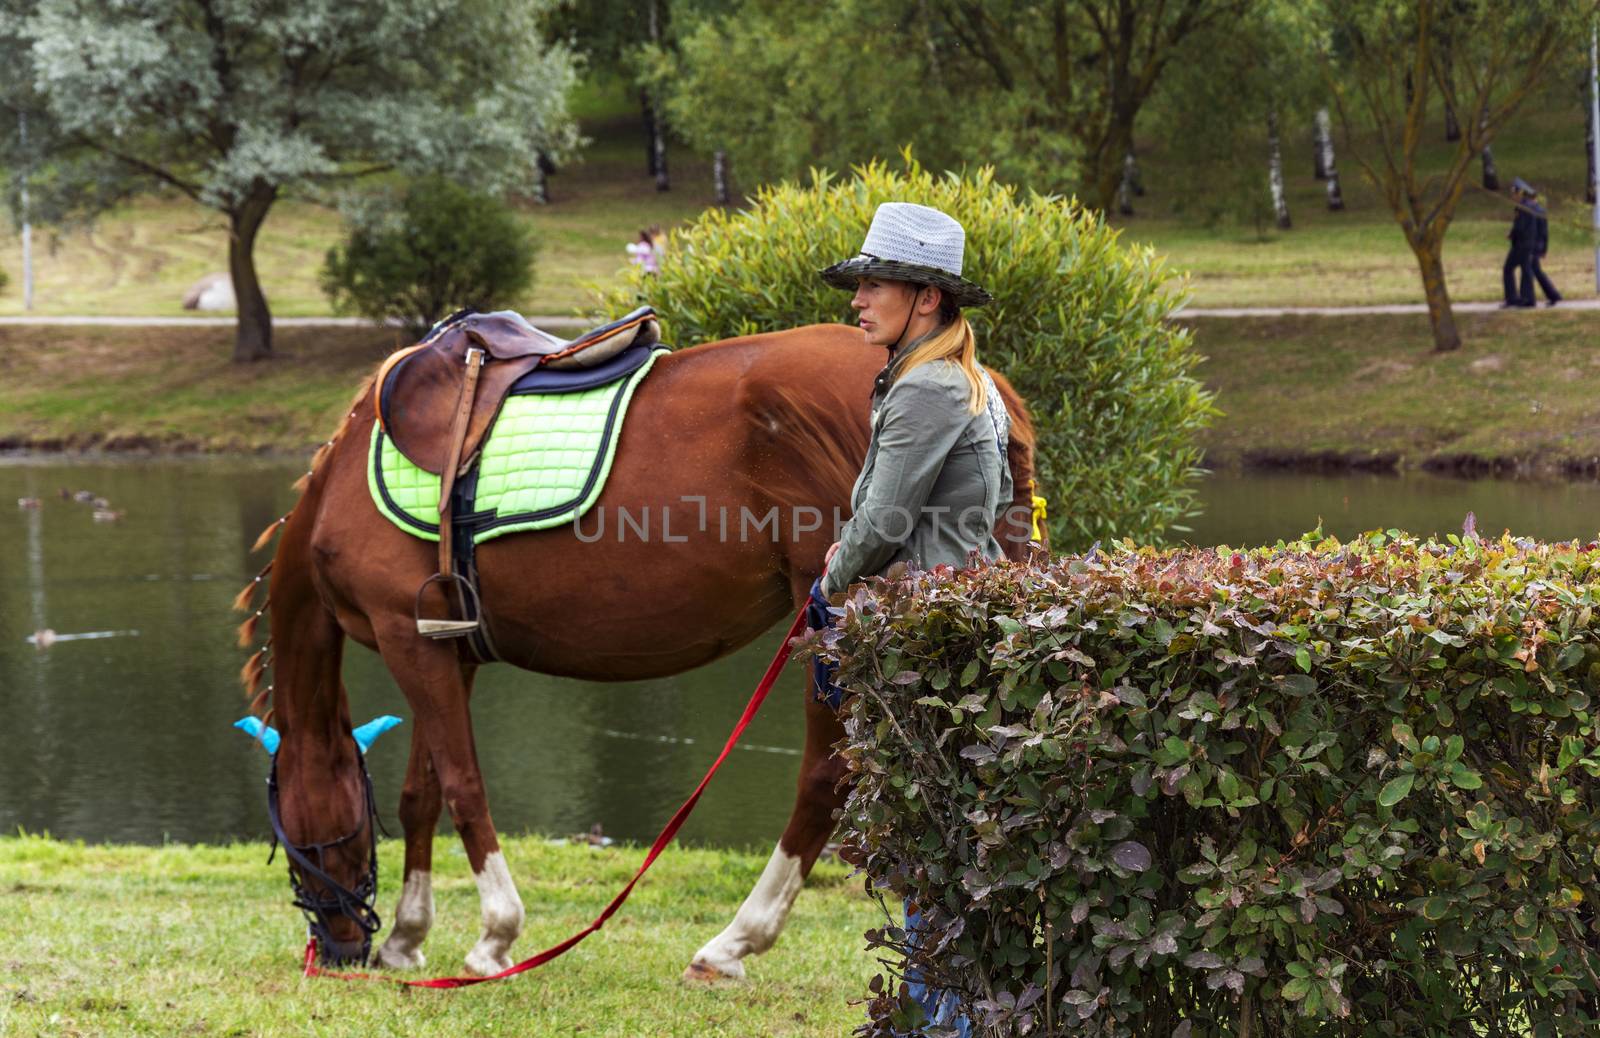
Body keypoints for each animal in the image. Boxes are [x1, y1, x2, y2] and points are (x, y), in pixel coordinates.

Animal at [236, 323, 1036, 978]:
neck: (343, 486)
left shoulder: (410, 642)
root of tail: (978, 378)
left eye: (289, 838)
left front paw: (494, 936)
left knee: (828, 778)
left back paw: (734, 941)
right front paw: (407, 938)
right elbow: (421, 794)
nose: (340, 947)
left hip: (840, 625)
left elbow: (463, 787)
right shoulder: (445, 652)